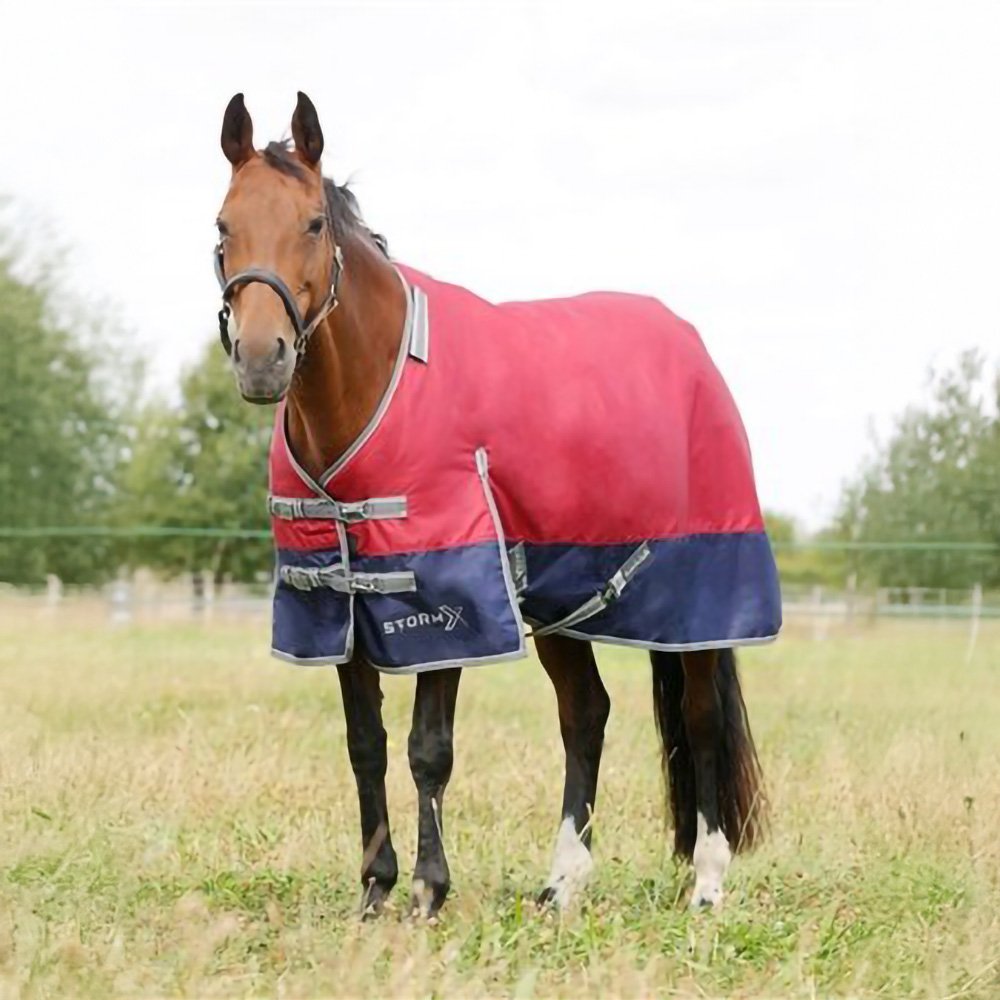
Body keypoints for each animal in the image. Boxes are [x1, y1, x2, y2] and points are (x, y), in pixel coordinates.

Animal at [213, 91, 777, 918]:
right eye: (223, 225)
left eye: (313, 222)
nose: (261, 359)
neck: (377, 381)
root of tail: (694, 351)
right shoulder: (341, 603)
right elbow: (365, 747)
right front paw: (375, 890)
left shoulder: (451, 595)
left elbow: (428, 750)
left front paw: (427, 891)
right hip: (566, 594)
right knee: (586, 715)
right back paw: (563, 883)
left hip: (697, 596)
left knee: (701, 719)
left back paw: (707, 882)